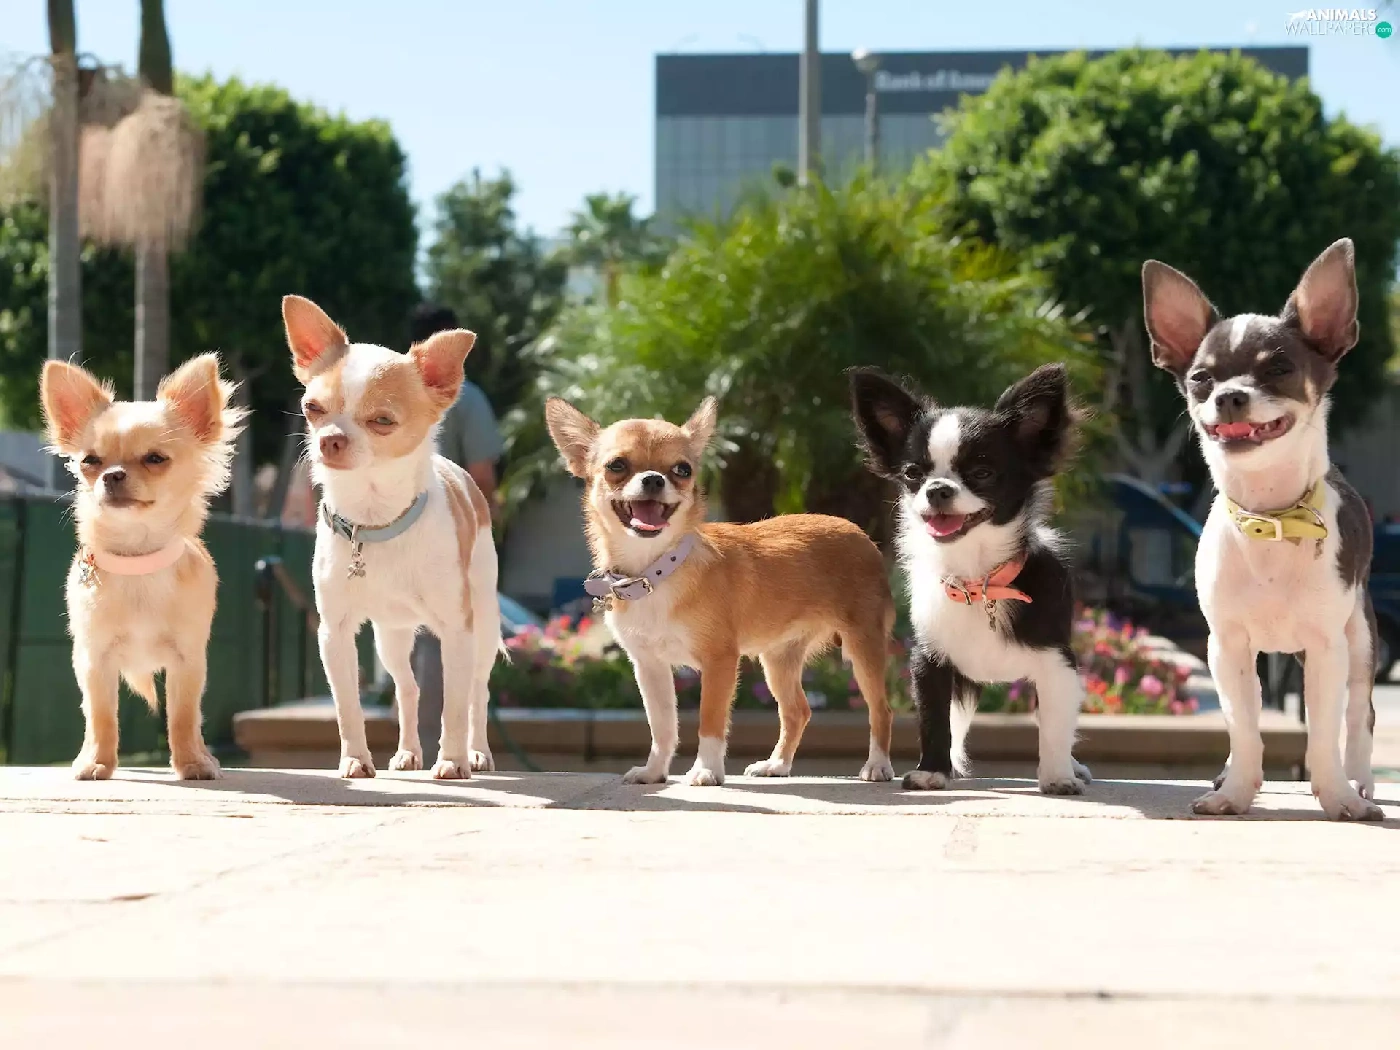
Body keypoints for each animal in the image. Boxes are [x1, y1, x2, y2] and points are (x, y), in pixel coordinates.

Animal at [40, 354, 244, 780]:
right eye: (90, 461)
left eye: (155, 459)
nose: (112, 474)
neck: (139, 562)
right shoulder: (94, 659)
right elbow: (101, 715)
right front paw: (96, 762)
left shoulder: (187, 661)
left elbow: (183, 716)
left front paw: (191, 763)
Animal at [283, 295, 499, 780]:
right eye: (312, 408)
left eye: (382, 420)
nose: (330, 439)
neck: (374, 521)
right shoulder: (335, 633)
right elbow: (348, 705)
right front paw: (355, 759)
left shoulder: (457, 629)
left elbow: (453, 705)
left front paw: (452, 761)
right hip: (390, 637)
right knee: (408, 688)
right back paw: (407, 753)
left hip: (484, 625)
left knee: (477, 691)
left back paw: (477, 753)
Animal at [544, 396, 896, 785]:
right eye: (617, 466)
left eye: (682, 470)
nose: (653, 479)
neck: (656, 571)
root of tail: (859, 532)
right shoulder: (649, 666)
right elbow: (662, 726)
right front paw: (654, 771)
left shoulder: (719, 662)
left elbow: (710, 721)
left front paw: (706, 769)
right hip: (779, 658)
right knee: (797, 711)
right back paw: (777, 765)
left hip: (862, 647)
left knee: (881, 709)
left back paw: (878, 765)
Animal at [849, 363, 1093, 794]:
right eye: (913, 474)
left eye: (982, 473)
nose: (938, 489)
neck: (979, 583)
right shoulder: (930, 661)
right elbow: (934, 720)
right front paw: (932, 771)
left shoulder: (1057, 664)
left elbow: (1054, 726)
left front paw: (1058, 777)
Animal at [1142, 238, 1383, 820]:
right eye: (1201, 378)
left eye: (1278, 367)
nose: (1228, 395)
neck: (1269, 517)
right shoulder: (1226, 647)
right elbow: (1244, 727)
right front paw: (1235, 792)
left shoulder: (1327, 649)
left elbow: (1323, 731)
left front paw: (1336, 795)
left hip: (1361, 640)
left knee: (1360, 715)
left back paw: (1360, 781)